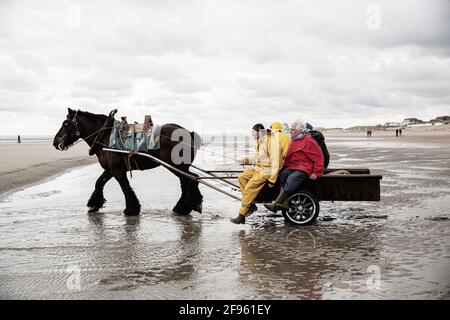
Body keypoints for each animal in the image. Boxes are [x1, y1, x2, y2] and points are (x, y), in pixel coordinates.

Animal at [51, 109, 204, 216]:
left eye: (66, 124)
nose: (55, 142)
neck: (105, 136)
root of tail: (188, 133)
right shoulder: (110, 169)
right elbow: (99, 182)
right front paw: (94, 204)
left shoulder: (117, 170)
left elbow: (125, 187)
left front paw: (131, 209)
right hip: (180, 166)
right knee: (189, 181)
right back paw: (183, 207)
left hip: (176, 166)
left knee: (190, 181)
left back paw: (186, 207)